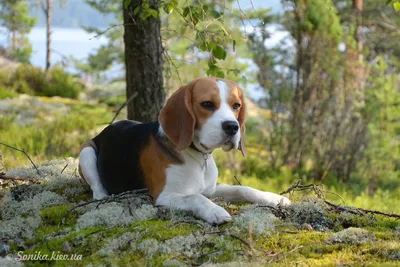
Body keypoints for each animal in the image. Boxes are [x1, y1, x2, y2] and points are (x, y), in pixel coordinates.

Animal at [78, 78, 290, 226]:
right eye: (207, 104)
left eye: (236, 106)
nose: (232, 127)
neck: (198, 156)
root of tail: (106, 129)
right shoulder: (164, 196)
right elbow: (195, 197)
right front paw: (215, 211)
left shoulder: (212, 189)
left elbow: (243, 189)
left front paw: (275, 198)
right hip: (86, 151)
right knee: (96, 187)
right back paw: (103, 196)